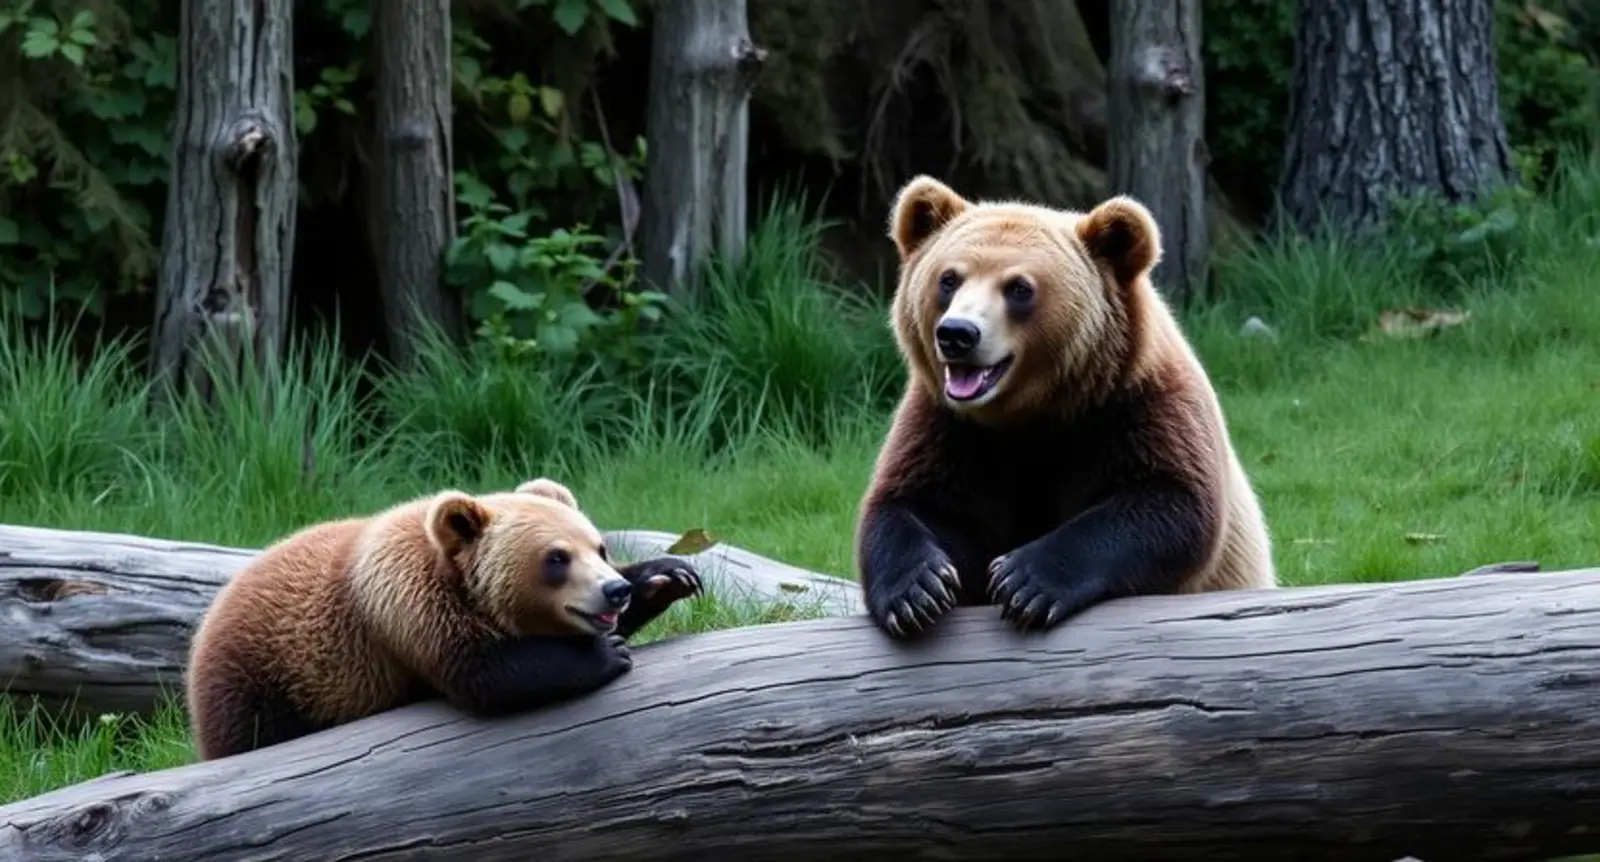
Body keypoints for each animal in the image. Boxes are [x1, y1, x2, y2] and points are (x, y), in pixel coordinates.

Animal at [185, 477, 702, 760]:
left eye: (600, 548)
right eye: (556, 558)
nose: (613, 591)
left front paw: (668, 576)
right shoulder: (404, 602)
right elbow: (483, 672)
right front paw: (604, 654)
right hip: (266, 680)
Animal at [854, 175, 1277, 638]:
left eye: (1019, 288)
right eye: (949, 279)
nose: (957, 333)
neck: (1036, 411)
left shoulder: (1138, 402)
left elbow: (1172, 503)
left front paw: (1025, 582)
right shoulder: (950, 425)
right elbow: (912, 502)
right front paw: (918, 590)